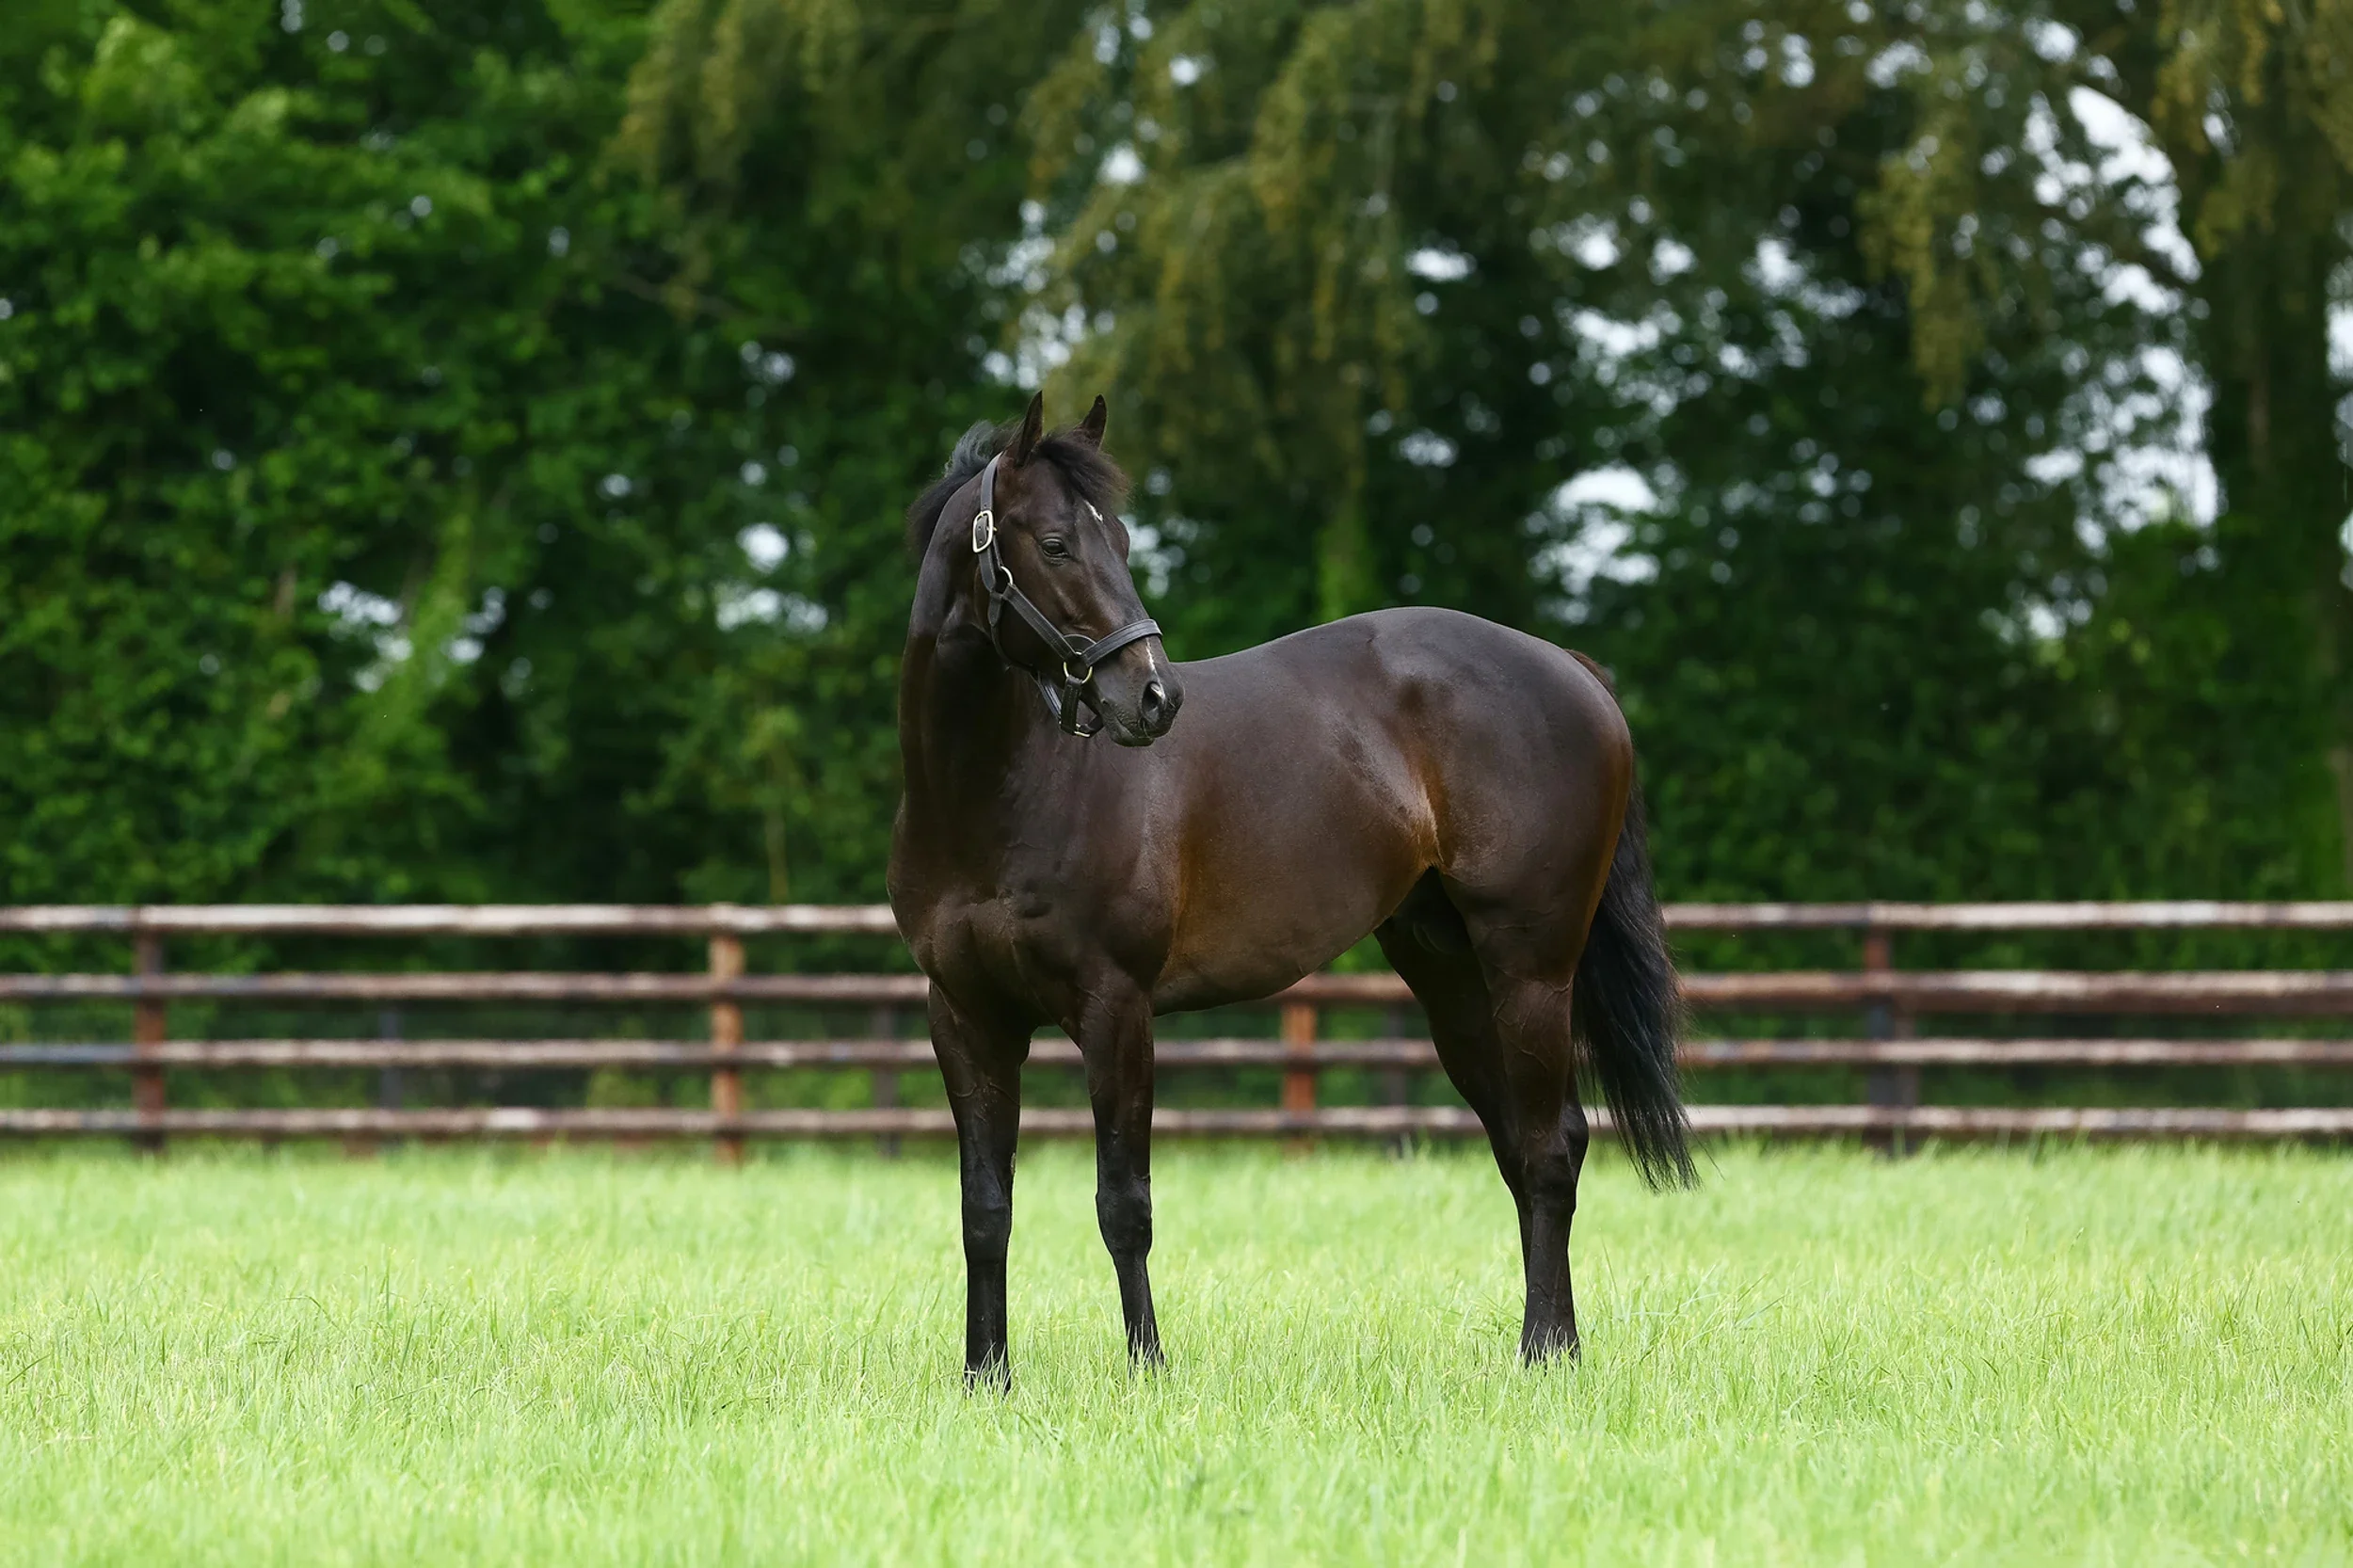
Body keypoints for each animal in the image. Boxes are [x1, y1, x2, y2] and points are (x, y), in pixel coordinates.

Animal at [887, 391, 1692, 1385]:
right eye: (1056, 542)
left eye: (1120, 538)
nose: (1153, 698)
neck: (997, 794)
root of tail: (1571, 669)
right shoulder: (966, 1016)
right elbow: (984, 1208)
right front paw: (986, 1378)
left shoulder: (1116, 1008)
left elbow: (1124, 1204)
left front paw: (1147, 1370)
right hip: (1453, 979)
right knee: (1526, 1143)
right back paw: (1554, 1346)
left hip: (1531, 967)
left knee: (1549, 1148)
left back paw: (1545, 1353)